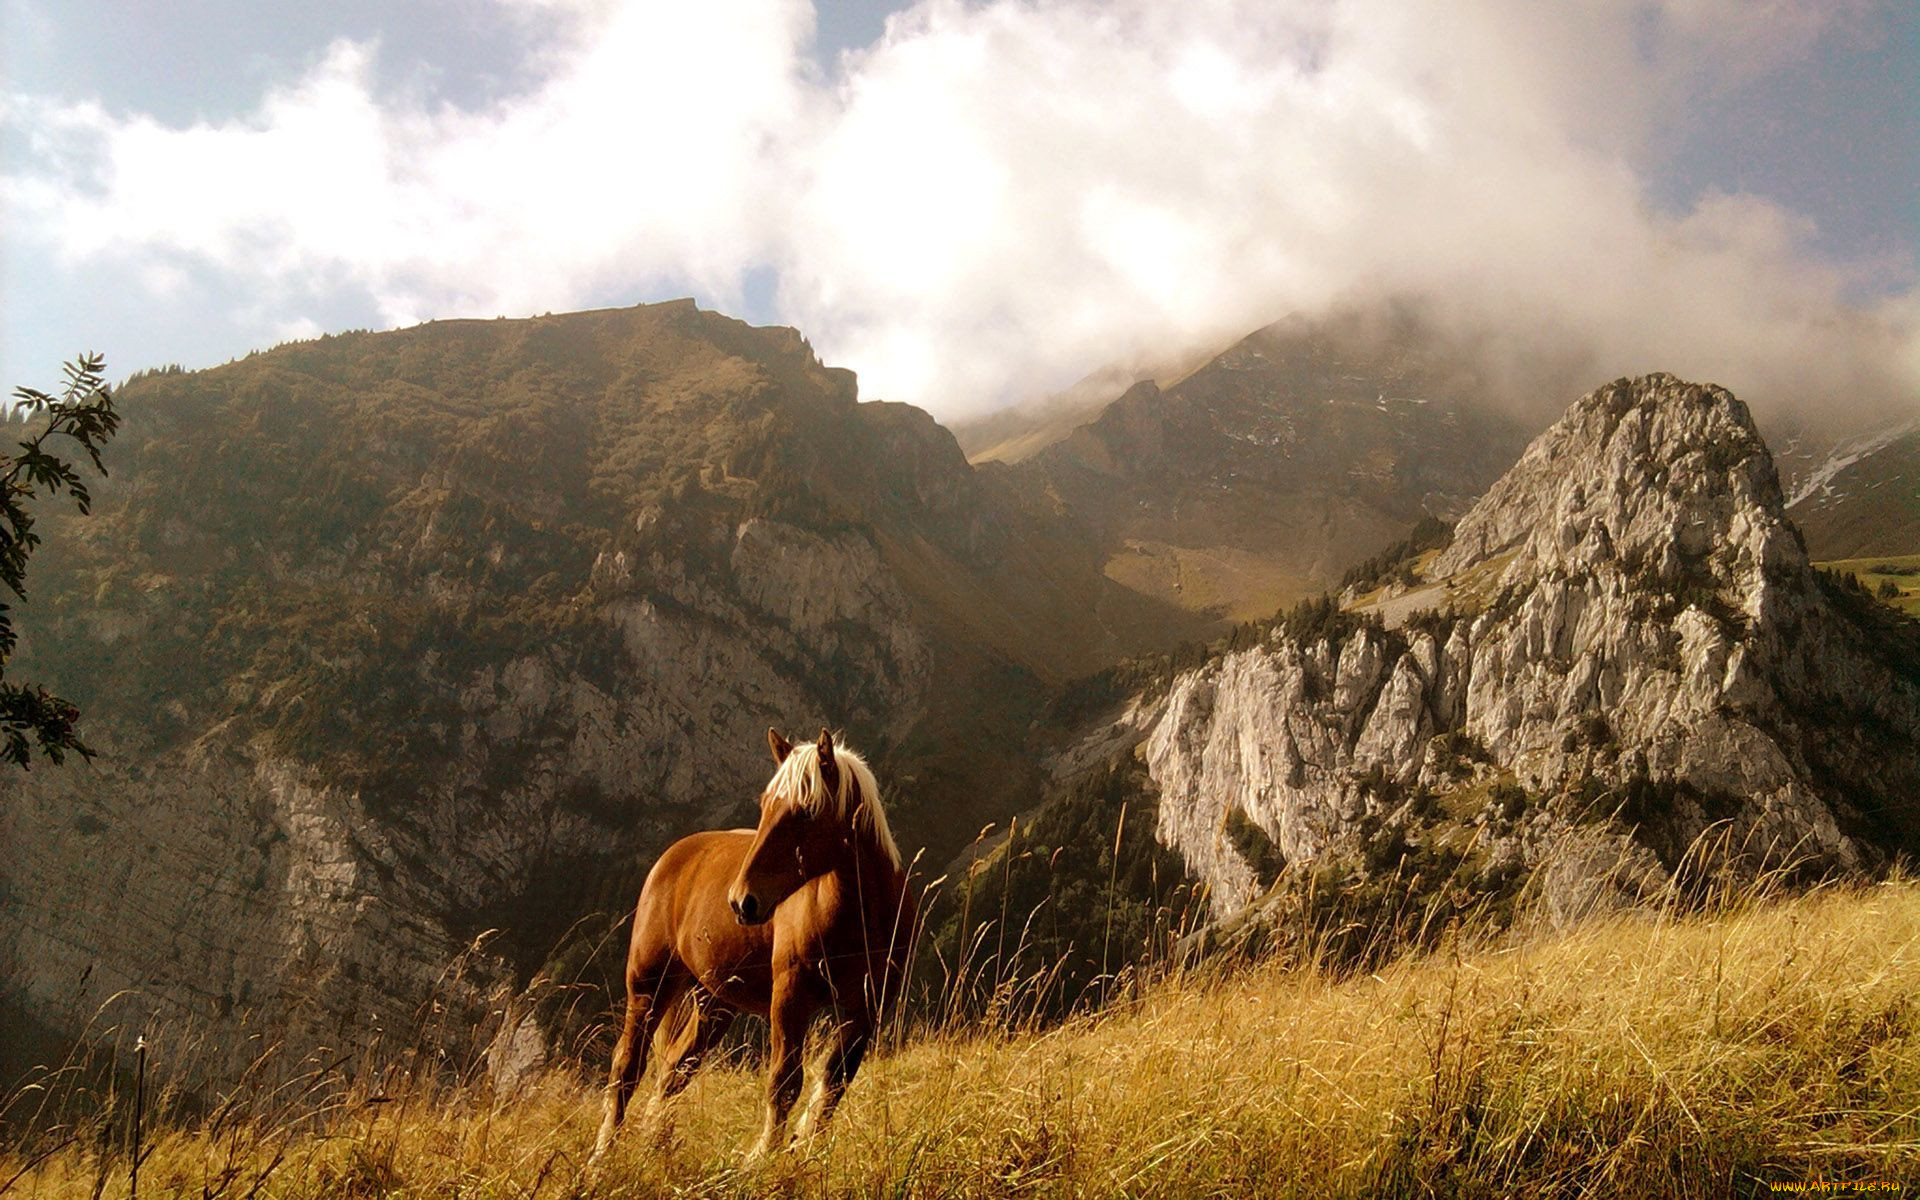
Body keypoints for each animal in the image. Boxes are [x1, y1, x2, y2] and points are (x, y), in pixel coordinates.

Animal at [587, 725, 917, 1159]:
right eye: (765, 804)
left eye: (806, 812)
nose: (741, 901)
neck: (859, 915)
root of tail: (674, 857)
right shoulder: (790, 995)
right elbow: (784, 1081)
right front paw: (764, 1155)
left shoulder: (866, 1004)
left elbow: (834, 1080)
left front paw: (804, 1148)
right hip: (649, 987)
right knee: (627, 1068)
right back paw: (602, 1155)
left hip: (713, 1002)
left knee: (675, 1070)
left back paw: (656, 1147)